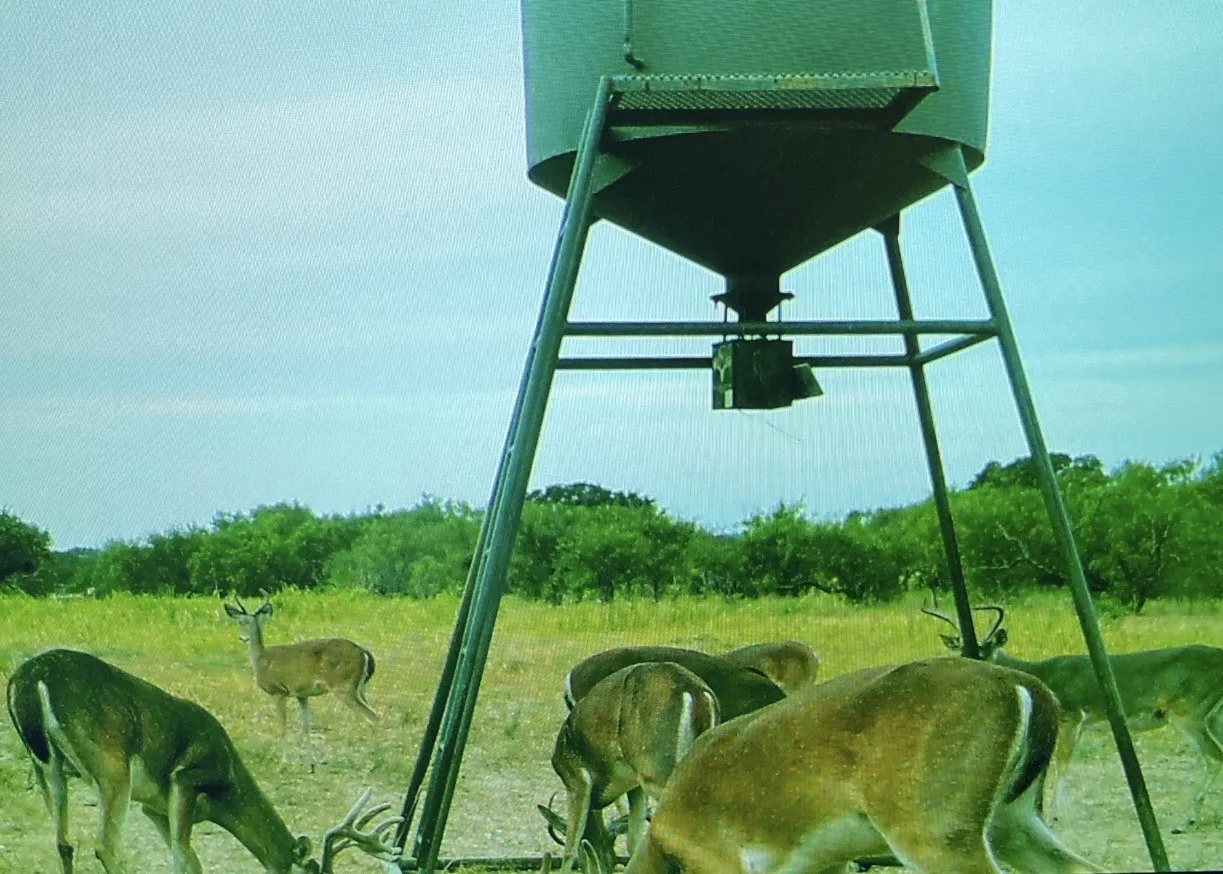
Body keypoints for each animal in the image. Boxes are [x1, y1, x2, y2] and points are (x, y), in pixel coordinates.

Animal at [5, 647, 400, 874]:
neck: (226, 791)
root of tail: (30, 677)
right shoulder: (186, 778)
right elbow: (182, 860)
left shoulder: (154, 807)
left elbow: (190, 860)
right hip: (112, 766)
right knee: (106, 847)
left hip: (48, 766)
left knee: (64, 842)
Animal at [223, 596, 377, 770]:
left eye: (242, 622)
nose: (242, 638)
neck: (259, 659)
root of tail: (364, 653)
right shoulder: (302, 695)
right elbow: (305, 726)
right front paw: (311, 763)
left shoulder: (277, 691)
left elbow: (283, 726)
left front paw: (284, 762)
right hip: (361, 688)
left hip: (343, 686)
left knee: (372, 716)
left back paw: (372, 762)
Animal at [545, 661, 721, 874]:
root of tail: (697, 694)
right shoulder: (634, 785)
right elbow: (633, 841)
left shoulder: (576, 778)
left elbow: (571, 847)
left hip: (658, 771)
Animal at [926, 604, 1223, 831]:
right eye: (960, 647)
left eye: (986, 648)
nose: (971, 664)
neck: (1041, 676)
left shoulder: (1072, 714)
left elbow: (1062, 765)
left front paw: (1056, 815)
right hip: (1211, 716)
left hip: (1190, 712)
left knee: (1214, 758)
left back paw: (1188, 820)